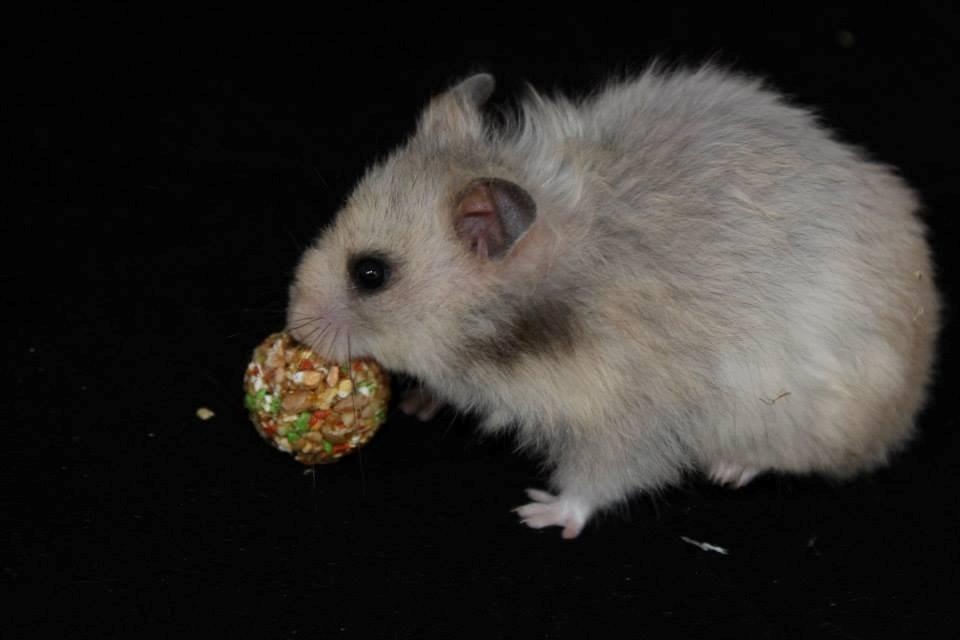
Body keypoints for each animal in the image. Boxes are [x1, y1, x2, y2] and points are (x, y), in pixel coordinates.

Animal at [286, 63, 942, 539]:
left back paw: (732, 467)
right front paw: (422, 402)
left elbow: (601, 477)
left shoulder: (633, 416)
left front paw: (540, 514)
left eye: (370, 274)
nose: (293, 327)